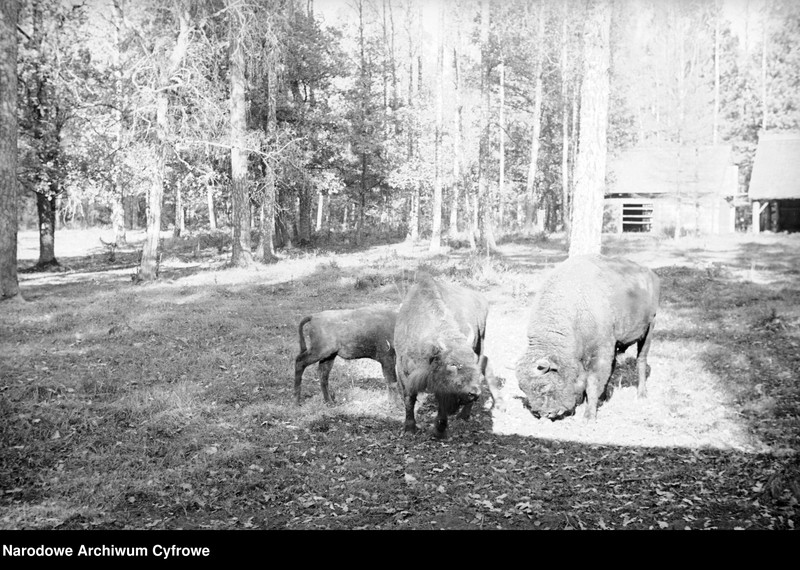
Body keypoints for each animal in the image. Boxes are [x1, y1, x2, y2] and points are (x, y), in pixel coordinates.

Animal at [392, 272, 488, 438]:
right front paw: (410, 428)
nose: (474, 393)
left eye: (473, 361)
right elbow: (409, 398)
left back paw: (463, 416)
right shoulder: (402, 369)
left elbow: (442, 403)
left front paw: (439, 430)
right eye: (452, 364)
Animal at [516, 255, 660, 420]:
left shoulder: (600, 353)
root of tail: (651, 275)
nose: (544, 413)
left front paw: (589, 416)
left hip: (649, 330)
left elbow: (592, 382)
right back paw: (604, 397)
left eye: (544, 387)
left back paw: (641, 395)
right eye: (523, 388)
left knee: (641, 361)